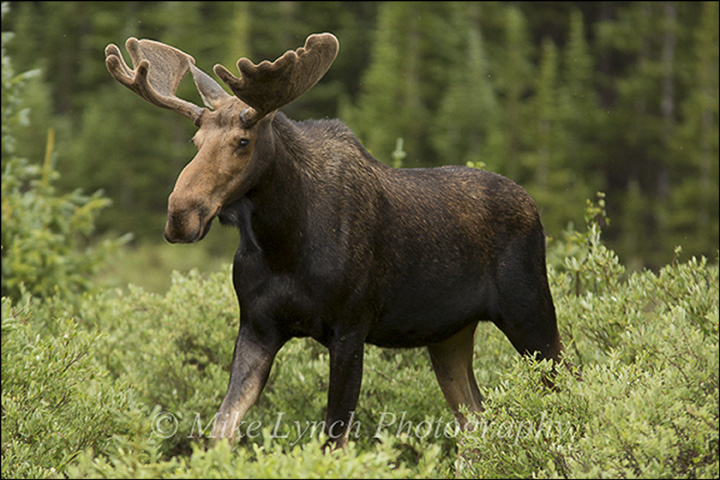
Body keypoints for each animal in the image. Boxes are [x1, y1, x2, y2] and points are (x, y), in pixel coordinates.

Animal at [105, 32, 568, 446]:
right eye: (196, 140)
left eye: (242, 141)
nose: (180, 214)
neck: (282, 243)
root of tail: (534, 207)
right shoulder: (256, 327)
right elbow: (223, 427)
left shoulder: (350, 330)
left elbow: (335, 437)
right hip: (449, 335)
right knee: (476, 421)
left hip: (530, 313)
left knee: (567, 389)